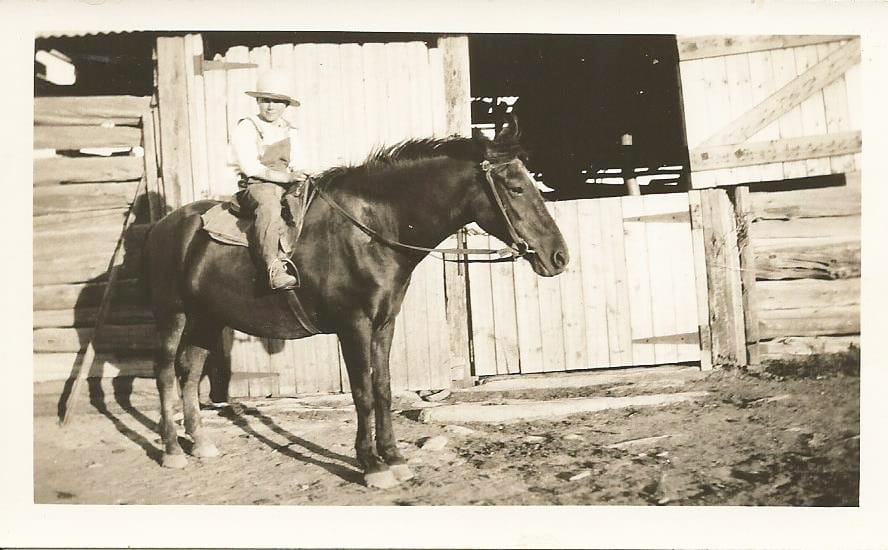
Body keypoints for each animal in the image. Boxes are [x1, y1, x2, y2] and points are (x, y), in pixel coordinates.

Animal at [143, 119, 570, 488]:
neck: (371, 231)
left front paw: (394, 457)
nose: (559, 256)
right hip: (173, 315)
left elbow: (382, 388)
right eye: (514, 187)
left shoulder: (384, 323)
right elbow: (362, 391)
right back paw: (171, 449)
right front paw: (371, 465)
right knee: (165, 373)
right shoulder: (354, 326)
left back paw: (200, 443)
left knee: (190, 372)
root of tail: (163, 226)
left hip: (207, 319)